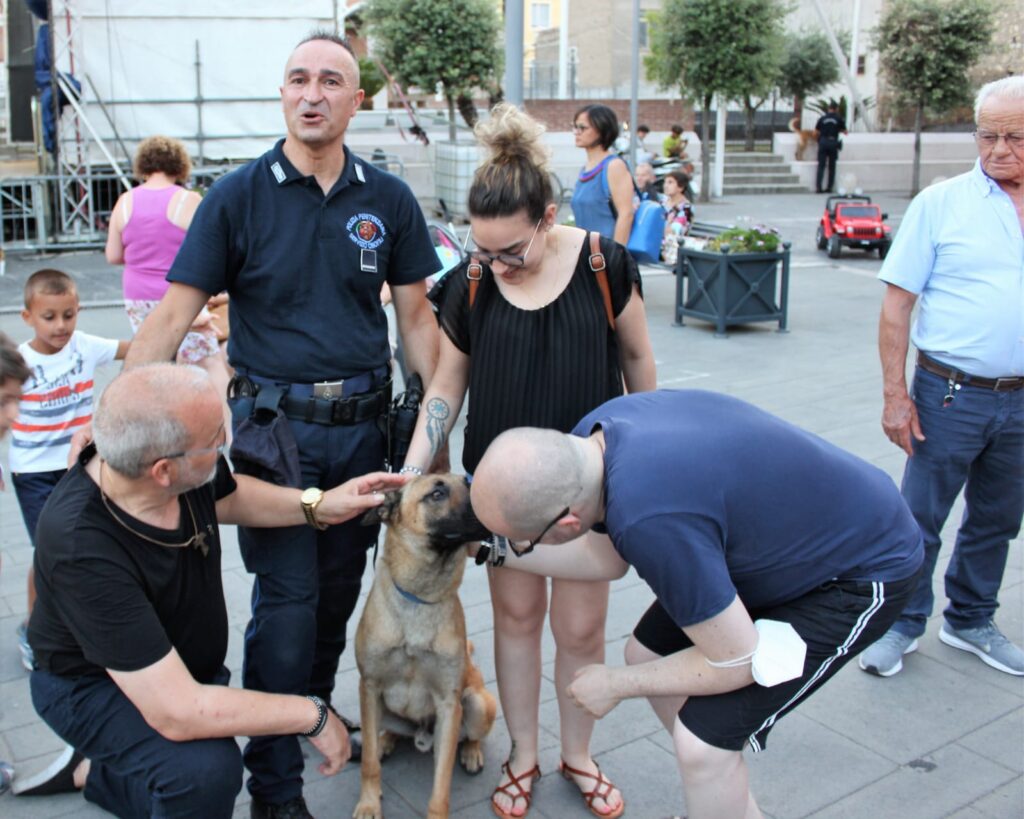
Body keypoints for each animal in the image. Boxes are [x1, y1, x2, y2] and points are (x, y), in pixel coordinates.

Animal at [352, 472, 495, 818]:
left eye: (467, 482)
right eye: (437, 493)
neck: (420, 598)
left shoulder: (449, 704)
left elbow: (441, 785)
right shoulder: (369, 686)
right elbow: (368, 763)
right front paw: (369, 803)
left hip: (477, 703)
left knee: (472, 736)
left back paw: (471, 753)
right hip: (377, 706)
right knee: (380, 736)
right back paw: (386, 741)